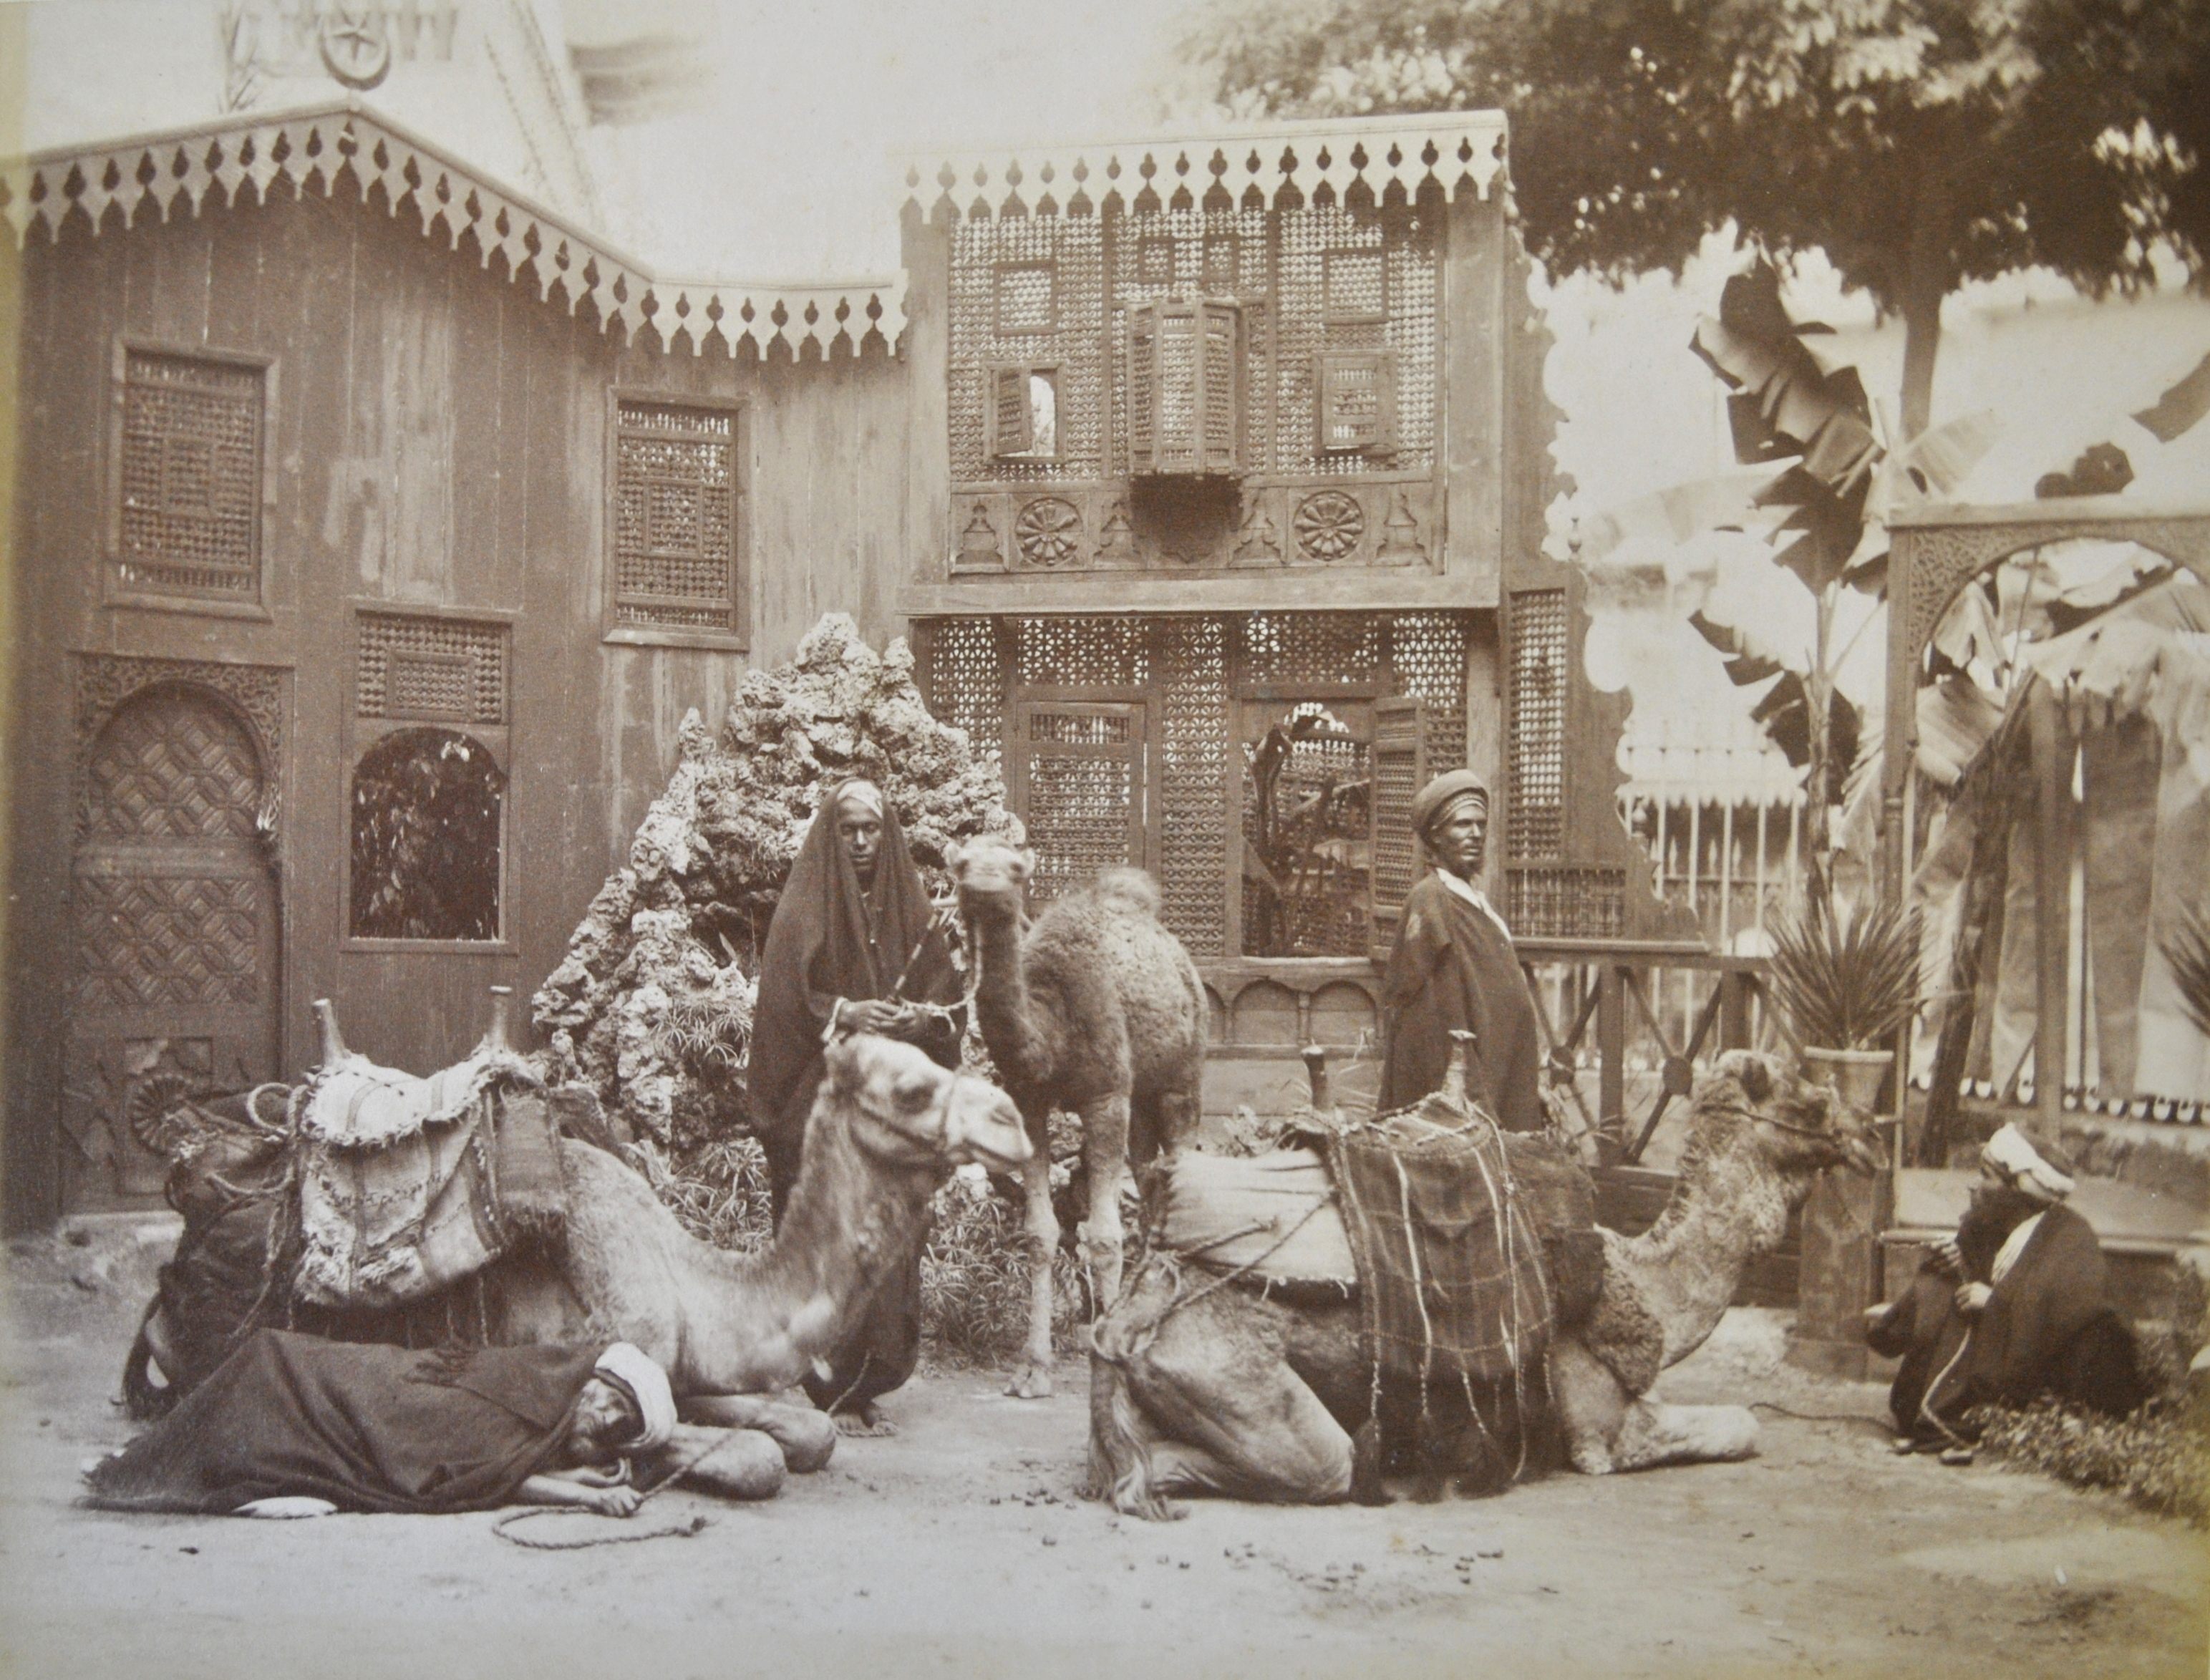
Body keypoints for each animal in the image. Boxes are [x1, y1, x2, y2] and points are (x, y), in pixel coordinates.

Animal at [133, 1012, 1029, 1494]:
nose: (1014, 1121)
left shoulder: (692, 1368)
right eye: (911, 1089)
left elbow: (809, 1432)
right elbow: (756, 1458)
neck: (695, 1282)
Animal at [941, 840, 1202, 1406]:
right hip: (1142, 1102)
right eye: (962, 862)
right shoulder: (1029, 1102)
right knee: (1150, 1182)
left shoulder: (1105, 1096)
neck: (1053, 1028)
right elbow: (1040, 1232)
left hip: (1182, 1080)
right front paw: (1031, 1370)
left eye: (1016, 867)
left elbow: (1102, 1236)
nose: (985, 882)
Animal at [1087, 1043, 1883, 1512]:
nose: (1872, 1137)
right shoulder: (1598, 1427)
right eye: (1811, 1100)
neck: (1642, 1280)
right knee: (1303, 1465)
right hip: (1227, 1375)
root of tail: (1133, 1306)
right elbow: (1743, 1425)